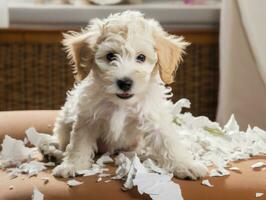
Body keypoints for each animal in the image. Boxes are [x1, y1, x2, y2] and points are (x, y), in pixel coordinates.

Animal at [39, 10, 208, 180]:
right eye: (110, 56)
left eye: (141, 57)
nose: (125, 82)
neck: (122, 104)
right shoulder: (87, 118)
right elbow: (79, 143)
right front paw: (72, 165)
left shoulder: (153, 118)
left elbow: (168, 142)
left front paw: (185, 165)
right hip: (64, 122)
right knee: (60, 140)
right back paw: (51, 151)